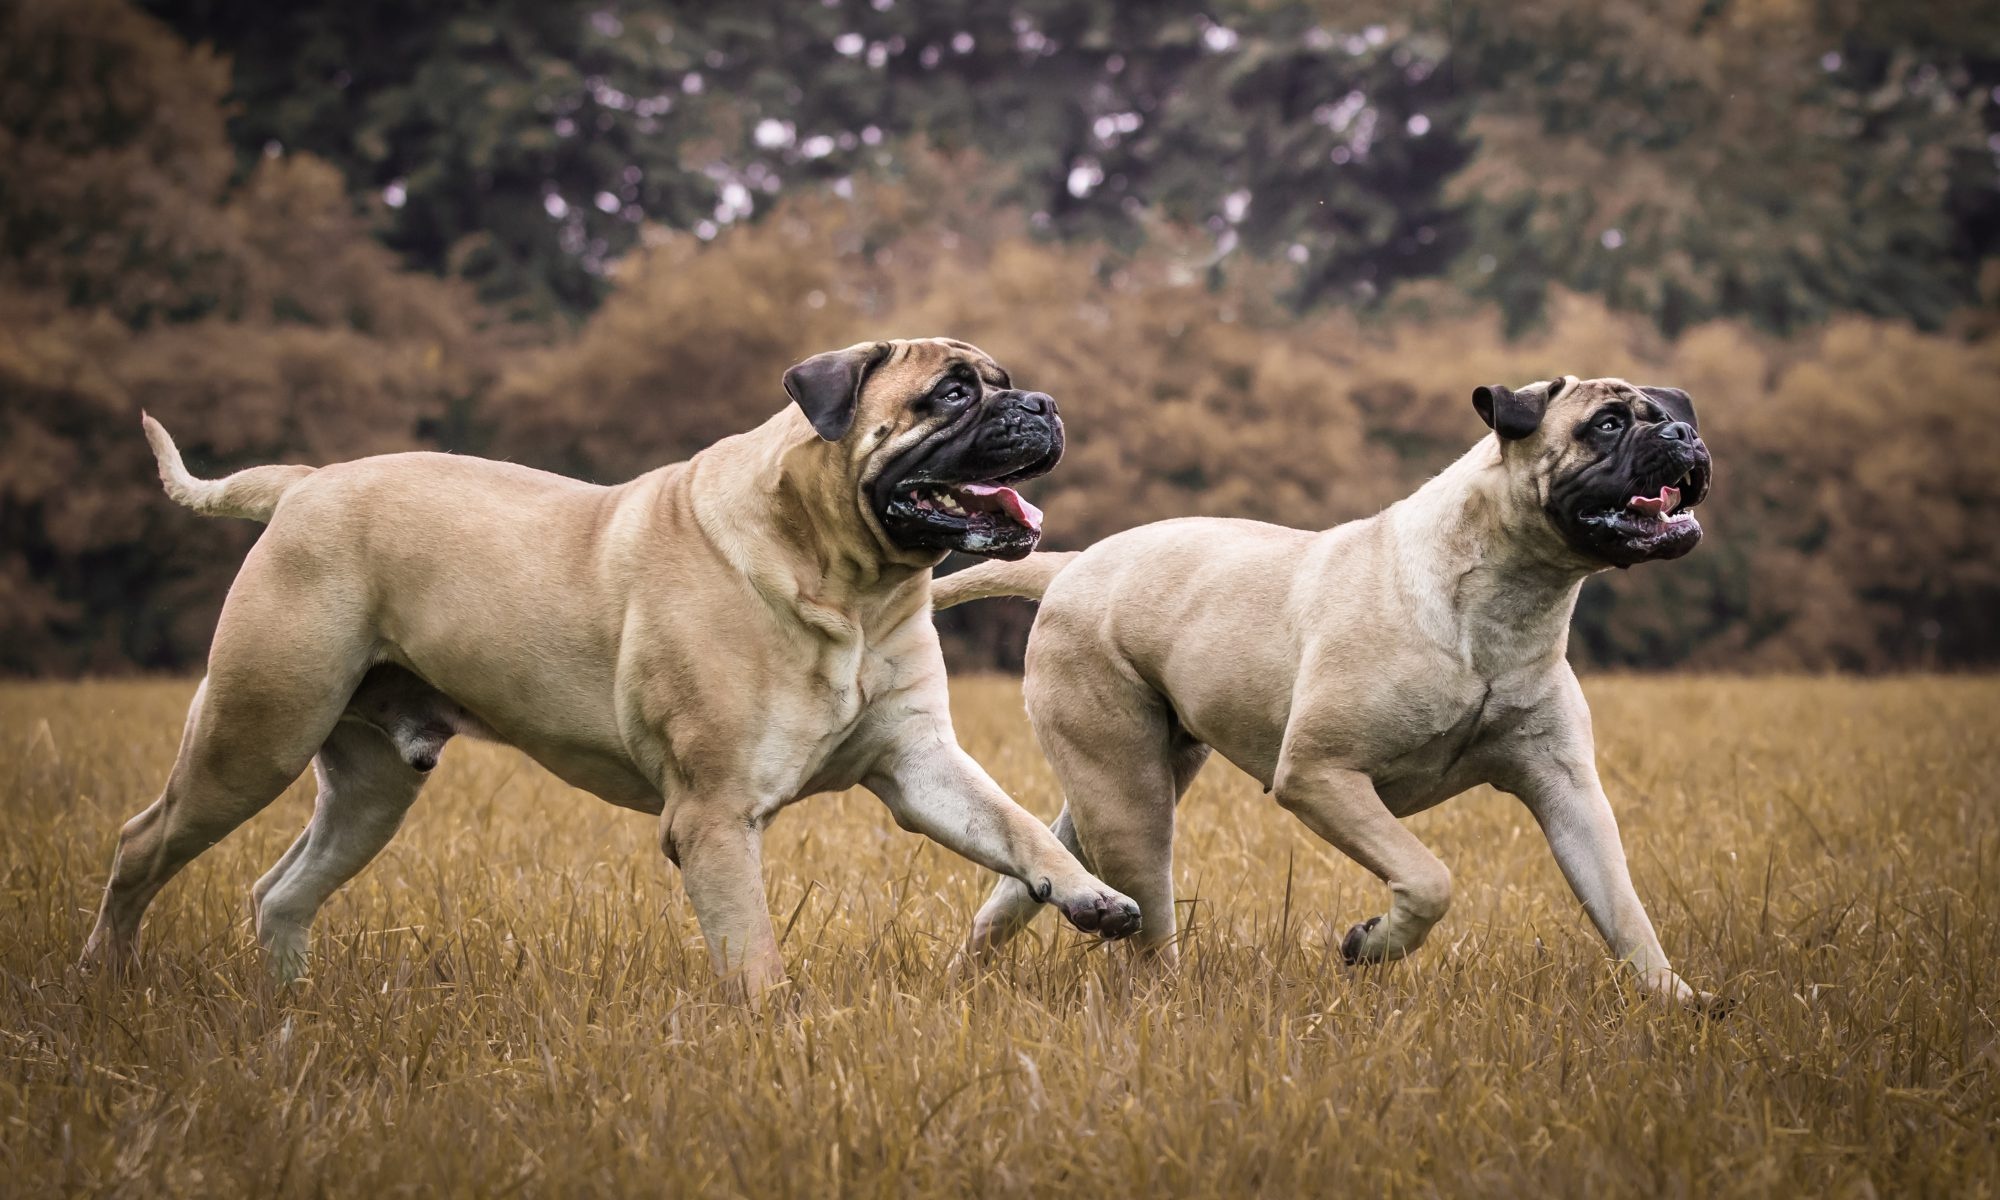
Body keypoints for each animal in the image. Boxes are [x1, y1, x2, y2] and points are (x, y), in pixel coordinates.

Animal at [82, 336, 1144, 992]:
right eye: (955, 393)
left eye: (1005, 380)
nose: (1044, 403)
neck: (851, 584)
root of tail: (304, 485)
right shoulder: (715, 816)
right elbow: (753, 955)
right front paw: (778, 1033)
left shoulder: (920, 765)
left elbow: (1017, 828)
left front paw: (1089, 895)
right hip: (253, 734)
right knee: (141, 843)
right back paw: (106, 977)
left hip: (372, 787)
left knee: (282, 891)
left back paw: (288, 1012)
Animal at [936, 376, 1720, 1004]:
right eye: (1607, 425)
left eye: (1667, 414)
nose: (1684, 433)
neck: (1505, 601)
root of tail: (1069, 567)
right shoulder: (1322, 776)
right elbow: (1430, 878)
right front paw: (1372, 944)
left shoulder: (1569, 793)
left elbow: (1623, 907)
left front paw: (1675, 999)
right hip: (1131, 798)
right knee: (1149, 931)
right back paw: (1163, 996)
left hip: (1119, 784)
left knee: (1026, 882)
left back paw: (974, 970)